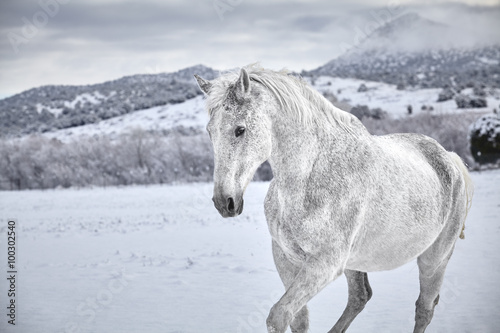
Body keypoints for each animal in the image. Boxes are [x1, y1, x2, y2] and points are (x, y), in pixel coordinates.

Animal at [194, 65, 472, 332]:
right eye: (210, 131)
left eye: (240, 130)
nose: (224, 202)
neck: (309, 176)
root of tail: (449, 158)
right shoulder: (286, 258)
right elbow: (297, 320)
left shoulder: (324, 264)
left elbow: (278, 316)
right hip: (356, 262)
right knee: (360, 296)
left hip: (434, 259)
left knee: (424, 308)